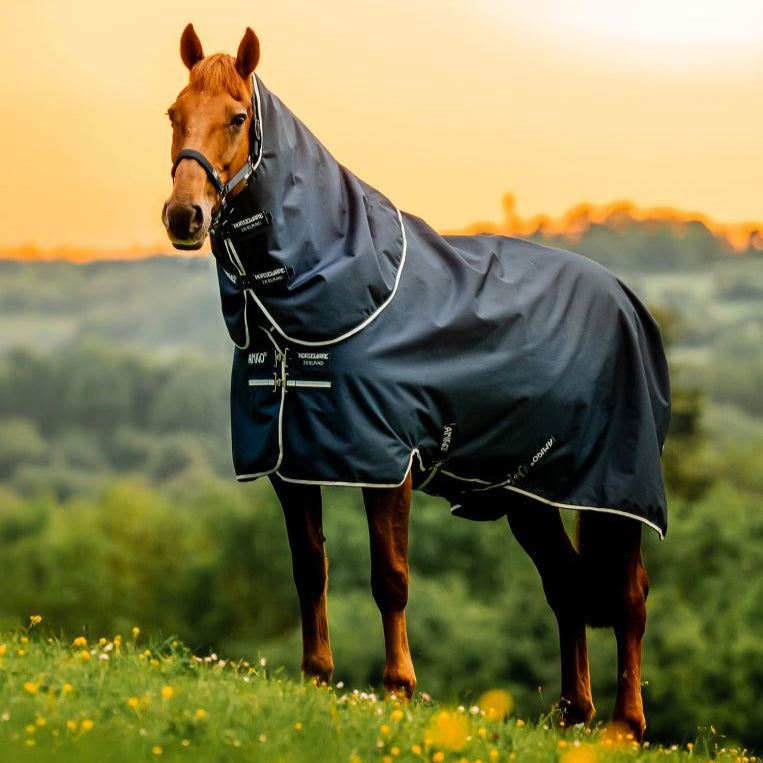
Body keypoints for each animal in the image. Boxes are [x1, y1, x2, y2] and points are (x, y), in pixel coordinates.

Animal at [162, 24, 670, 741]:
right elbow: (309, 569)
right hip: (529, 494)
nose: (184, 217)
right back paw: (574, 715)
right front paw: (316, 678)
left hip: (615, 490)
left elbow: (390, 577)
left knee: (629, 594)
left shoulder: (385, 461)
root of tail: (627, 300)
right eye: (173, 115)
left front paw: (399, 689)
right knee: (567, 586)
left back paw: (625, 725)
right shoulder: (290, 462)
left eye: (237, 117)